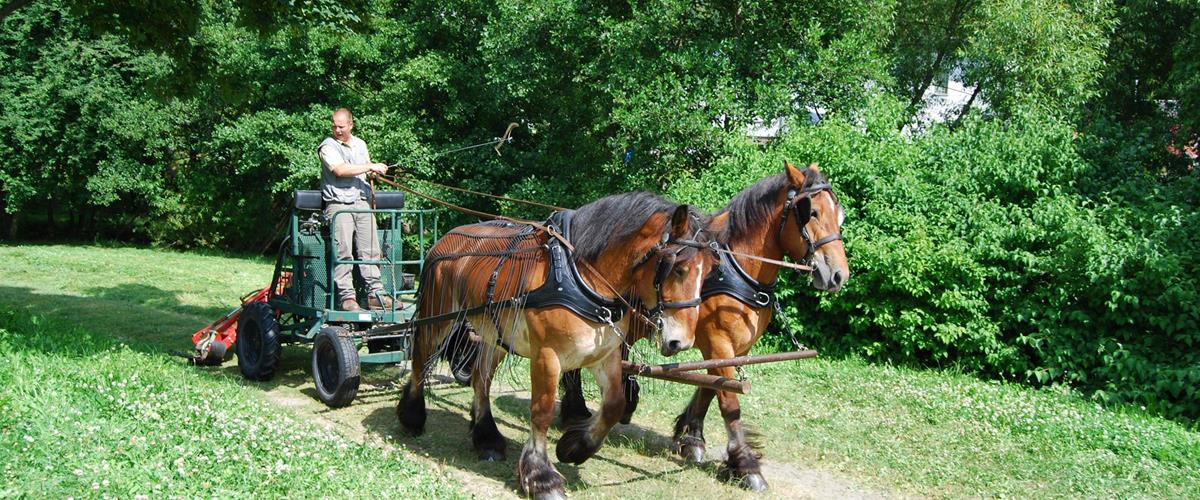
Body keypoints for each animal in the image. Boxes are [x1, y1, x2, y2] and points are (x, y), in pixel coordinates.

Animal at [396, 189, 710, 494]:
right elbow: (542, 411)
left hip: (494, 334)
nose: (681, 342)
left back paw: (487, 438)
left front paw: (574, 446)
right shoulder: (547, 356)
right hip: (437, 317)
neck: (580, 277)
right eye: (677, 268)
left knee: (480, 379)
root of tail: (446, 239)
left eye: (708, 271)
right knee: (421, 360)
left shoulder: (604, 355)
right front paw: (540, 477)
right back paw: (411, 417)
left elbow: (614, 404)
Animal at [559, 161, 849, 489]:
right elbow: (729, 402)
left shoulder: (732, 349)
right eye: (812, 213)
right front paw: (746, 464)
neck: (736, 270)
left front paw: (691, 437)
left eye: (839, 215)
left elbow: (710, 387)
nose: (838, 275)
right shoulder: (718, 343)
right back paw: (575, 410)